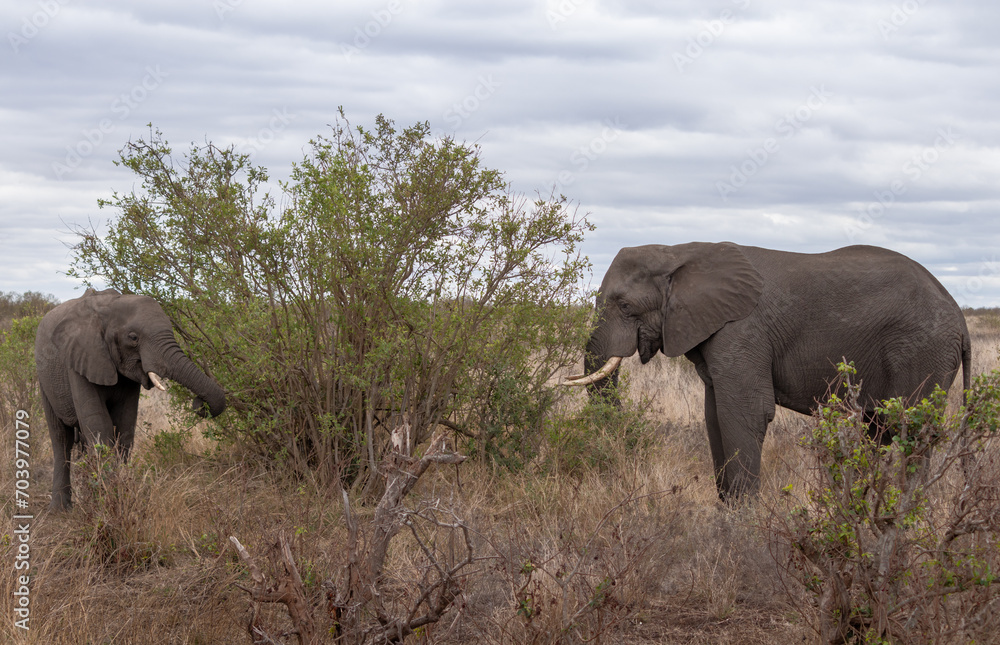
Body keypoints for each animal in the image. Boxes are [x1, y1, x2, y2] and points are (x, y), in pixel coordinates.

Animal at [35, 288, 226, 510]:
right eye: (133, 337)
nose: (199, 404)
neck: (109, 307)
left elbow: (124, 425)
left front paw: (116, 496)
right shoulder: (79, 359)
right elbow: (99, 424)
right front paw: (109, 503)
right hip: (44, 379)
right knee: (60, 439)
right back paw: (60, 509)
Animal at [565, 242, 971, 501]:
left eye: (624, 305)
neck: (679, 252)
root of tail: (959, 316)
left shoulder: (742, 331)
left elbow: (745, 413)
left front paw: (742, 526)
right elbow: (715, 416)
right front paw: (727, 514)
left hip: (922, 351)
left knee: (911, 431)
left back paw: (905, 512)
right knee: (880, 429)